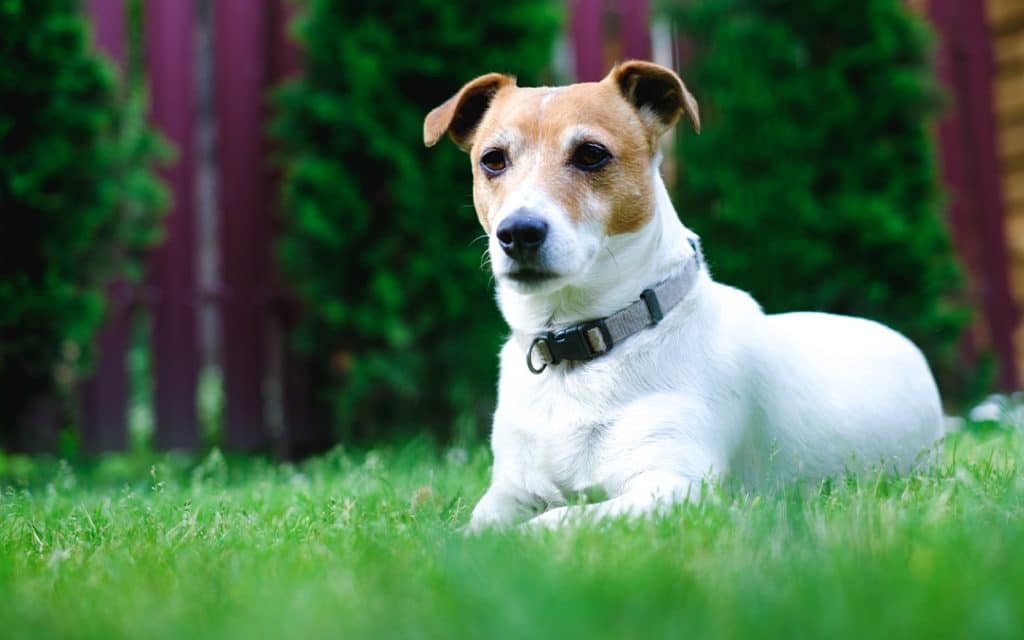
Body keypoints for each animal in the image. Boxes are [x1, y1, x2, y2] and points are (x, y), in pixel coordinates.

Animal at [421, 61, 942, 528]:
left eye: (591, 154)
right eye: (493, 160)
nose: (518, 232)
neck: (580, 348)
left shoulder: (676, 486)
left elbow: (558, 519)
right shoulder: (512, 489)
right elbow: (476, 524)